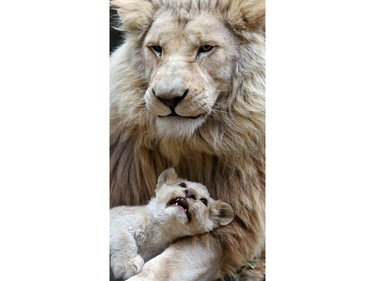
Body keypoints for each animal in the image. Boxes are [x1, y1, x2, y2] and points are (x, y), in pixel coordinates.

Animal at [110, 1, 266, 278]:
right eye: (156, 48)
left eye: (206, 48)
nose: (168, 98)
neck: (184, 143)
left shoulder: (226, 232)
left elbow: (170, 263)